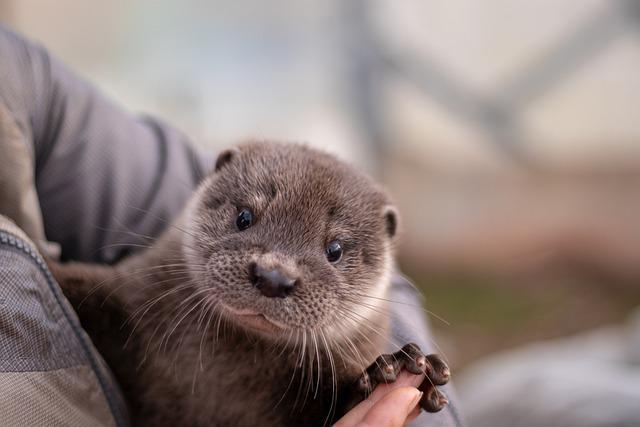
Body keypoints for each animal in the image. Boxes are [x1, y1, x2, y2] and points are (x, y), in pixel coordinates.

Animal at [48, 142, 450, 426]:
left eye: (334, 249)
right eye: (244, 216)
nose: (274, 277)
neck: (220, 377)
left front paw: (392, 368)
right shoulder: (126, 296)